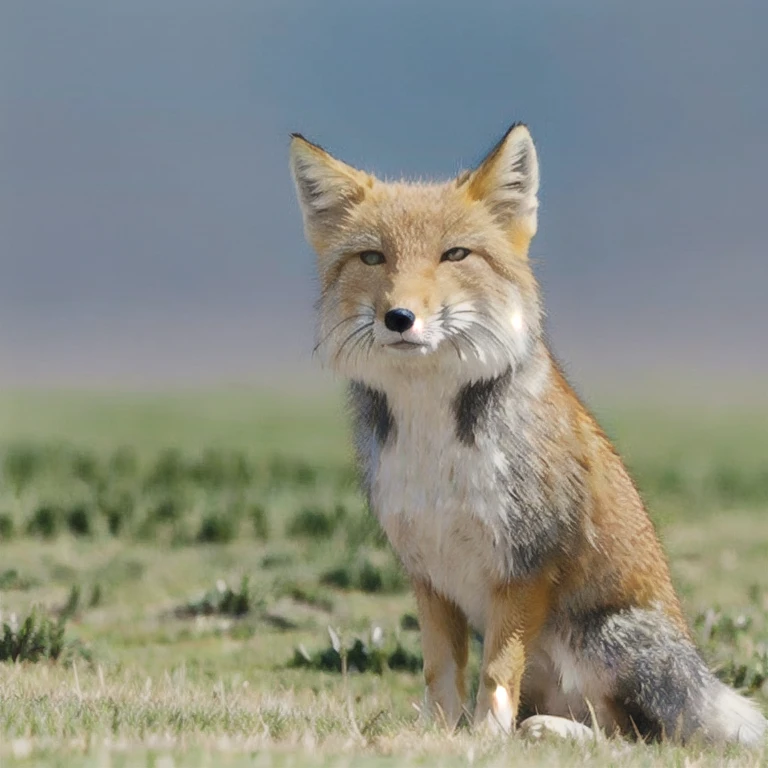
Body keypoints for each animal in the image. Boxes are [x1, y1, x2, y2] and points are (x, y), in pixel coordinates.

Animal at [288, 124, 768, 744]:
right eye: (374, 257)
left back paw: (553, 731)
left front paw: (486, 741)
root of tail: (698, 674)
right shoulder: (427, 572)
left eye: (454, 254)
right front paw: (439, 737)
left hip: (600, 638)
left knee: (632, 735)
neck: (434, 451)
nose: (399, 318)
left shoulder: (525, 564)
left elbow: (495, 671)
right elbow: (441, 672)